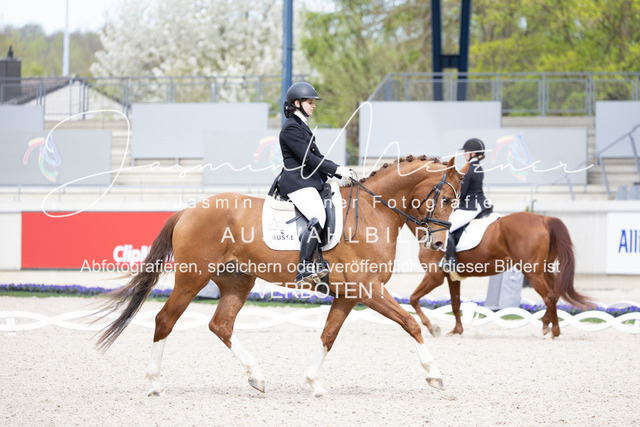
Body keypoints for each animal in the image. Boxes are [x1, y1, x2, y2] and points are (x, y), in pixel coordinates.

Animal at [95, 155, 469, 396]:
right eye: (445, 199)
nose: (438, 243)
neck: (373, 212)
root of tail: (188, 210)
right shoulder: (368, 290)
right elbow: (410, 323)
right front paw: (435, 376)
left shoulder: (350, 294)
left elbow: (328, 336)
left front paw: (313, 383)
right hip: (192, 278)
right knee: (165, 319)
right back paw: (154, 383)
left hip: (238, 281)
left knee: (221, 325)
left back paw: (256, 377)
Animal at [406, 212, 592, 338]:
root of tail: (543, 219)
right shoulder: (452, 277)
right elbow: (455, 303)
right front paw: (457, 330)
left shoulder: (434, 276)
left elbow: (413, 299)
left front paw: (431, 327)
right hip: (544, 270)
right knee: (554, 294)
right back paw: (547, 324)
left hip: (532, 272)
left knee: (549, 296)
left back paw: (554, 330)